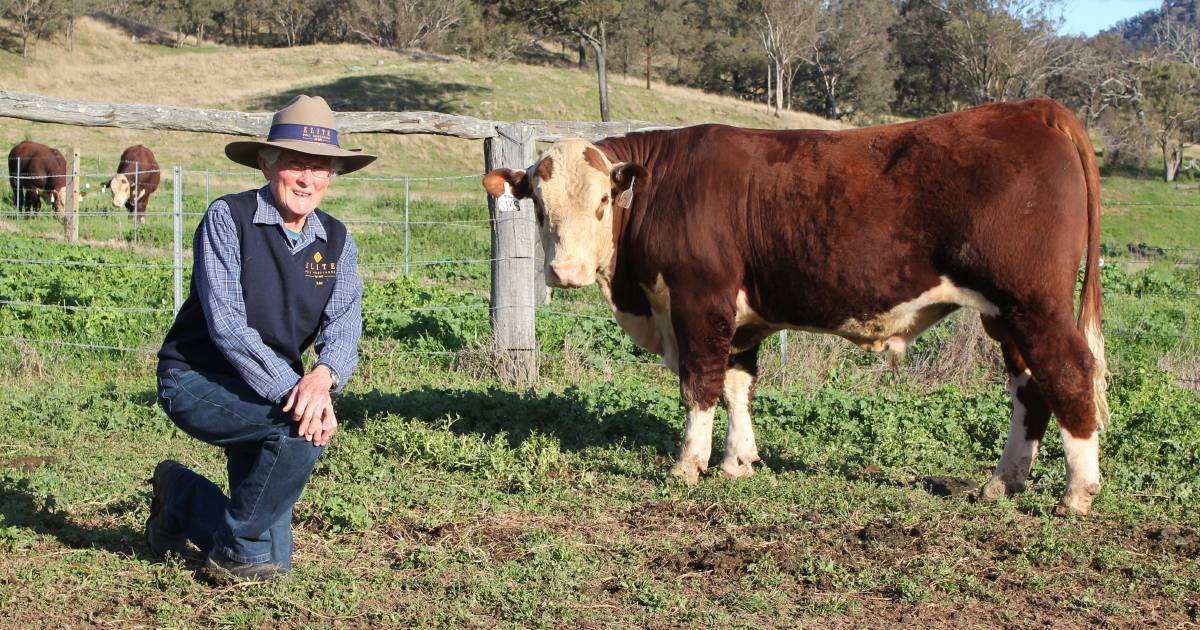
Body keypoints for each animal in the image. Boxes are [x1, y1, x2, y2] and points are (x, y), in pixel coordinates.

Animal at [482, 97, 1108, 511]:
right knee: (1029, 387)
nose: (565, 272)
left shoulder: (700, 300)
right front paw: (737, 462)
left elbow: (700, 384)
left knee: (1071, 372)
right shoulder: (737, 319)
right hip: (1004, 313)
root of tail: (1035, 109)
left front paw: (689, 465)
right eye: (538, 204)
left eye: (603, 200)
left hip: (1034, 301)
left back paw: (1077, 493)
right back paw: (1003, 482)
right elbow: (737, 385)